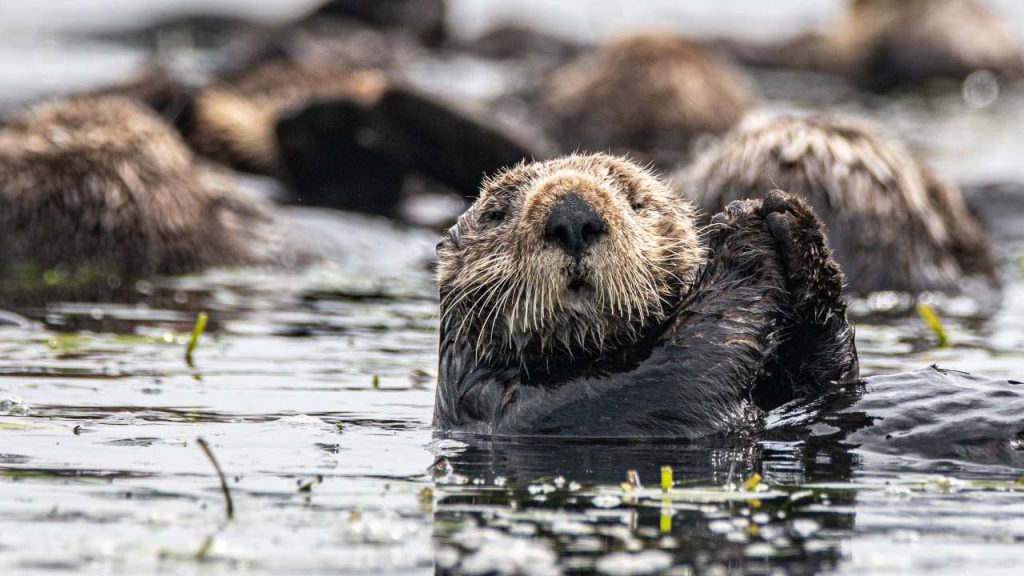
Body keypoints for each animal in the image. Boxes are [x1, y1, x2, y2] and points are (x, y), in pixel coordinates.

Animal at [436, 152, 860, 434]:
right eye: (497, 214)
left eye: (636, 202)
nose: (572, 215)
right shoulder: (515, 405)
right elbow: (675, 373)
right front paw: (740, 231)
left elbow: (831, 386)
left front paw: (793, 221)